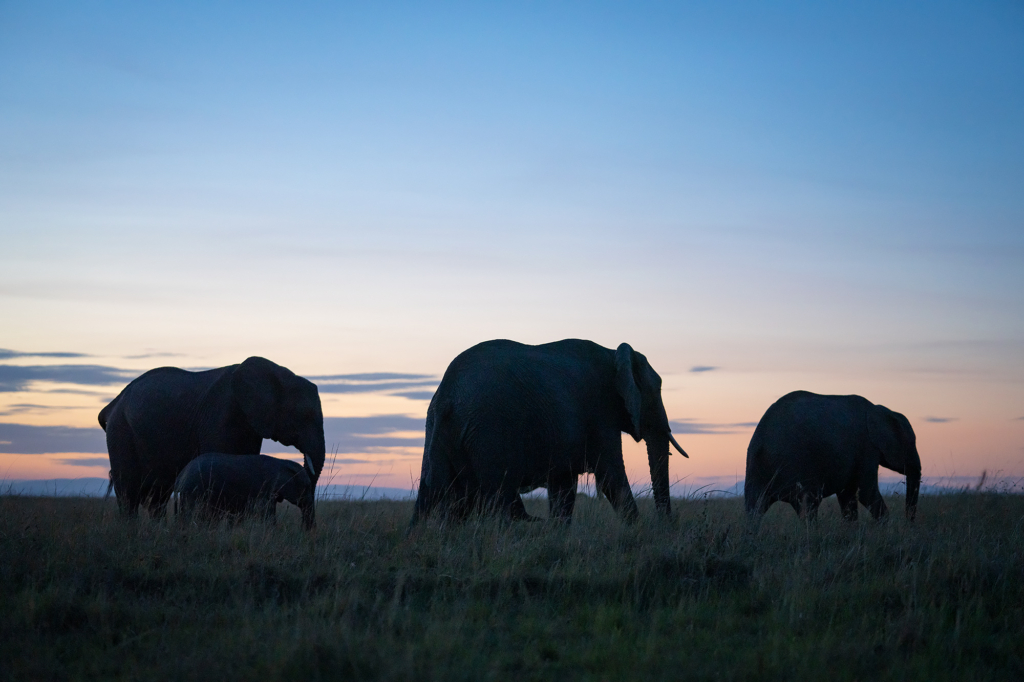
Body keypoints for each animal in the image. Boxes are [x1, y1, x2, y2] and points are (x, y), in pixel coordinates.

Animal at [98, 352, 323, 518]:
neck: (277, 374)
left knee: (158, 496)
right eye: (305, 415)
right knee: (128, 492)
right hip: (121, 431)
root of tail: (112, 404)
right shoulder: (220, 413)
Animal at [174, 454, 315, 528]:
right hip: (193, 489)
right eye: (307, 486)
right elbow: (267, 513)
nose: (304, 530)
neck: (282, 462)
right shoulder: (265, 489)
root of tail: (180, 475)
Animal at [409, 337, 688, 522]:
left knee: (435, 494)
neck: (614, 354)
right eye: (657, 388)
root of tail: (447, 395)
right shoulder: (599, 411)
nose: (665, 524)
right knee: (498, 496)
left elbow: (563, 487)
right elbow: (610, 474)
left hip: (438, 430)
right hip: (489, 432)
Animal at [741, 387, 925, 520]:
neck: (882, 410)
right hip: (797, 466)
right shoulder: (866, 447)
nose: (908, 524)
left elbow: (848, 498)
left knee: (754, 509)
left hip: (756, 469)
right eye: (911, 444)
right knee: (808, 507)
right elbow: (866, 493)